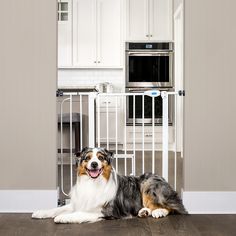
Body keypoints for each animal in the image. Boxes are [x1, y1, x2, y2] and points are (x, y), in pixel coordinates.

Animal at [32, 148, 187, 223]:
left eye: (101, 158)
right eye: (88, 158)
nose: (94, 164)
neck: (93, 183)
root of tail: (164, 179)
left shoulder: (106, 210)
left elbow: (80, 213)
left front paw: (63, 217)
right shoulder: (79, 203)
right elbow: (57, 209)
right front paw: (40, 212)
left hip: (148, 184)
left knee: (172, 207)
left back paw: (158, 212)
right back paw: (143, 212)